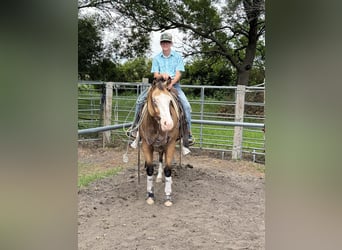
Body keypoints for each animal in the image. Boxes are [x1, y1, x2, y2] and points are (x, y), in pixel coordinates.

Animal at [137, 76, 186, 207]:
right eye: (154, 100)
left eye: (170, 102)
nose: (168, 124)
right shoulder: (146, 145)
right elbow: (149, 169)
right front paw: (150, 195)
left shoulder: (170, 144)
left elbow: (168, 170)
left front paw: (168, 197)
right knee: (159, 157)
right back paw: (159, 177)